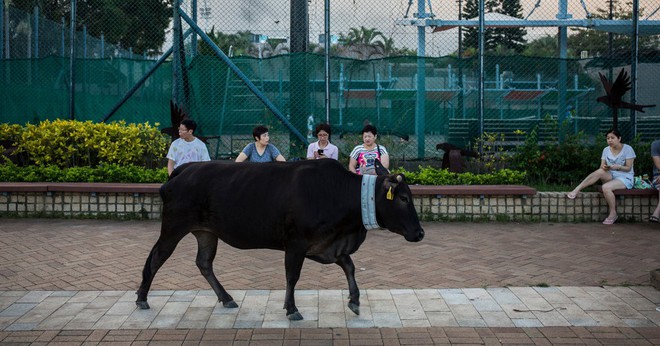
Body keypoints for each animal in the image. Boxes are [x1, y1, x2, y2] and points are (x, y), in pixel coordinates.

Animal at [135, 159, 422, 318]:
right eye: (403, 198)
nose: (420, 233)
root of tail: (184, 168)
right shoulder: (296, 243)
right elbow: (292, 276)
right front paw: (291, 309)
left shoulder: (327, 245)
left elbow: (349, 266)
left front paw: (354, 300)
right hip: (174, 226)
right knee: (155, 258)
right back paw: (142, 298)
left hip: (206, 232)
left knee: (204, 262)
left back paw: (226, 298)